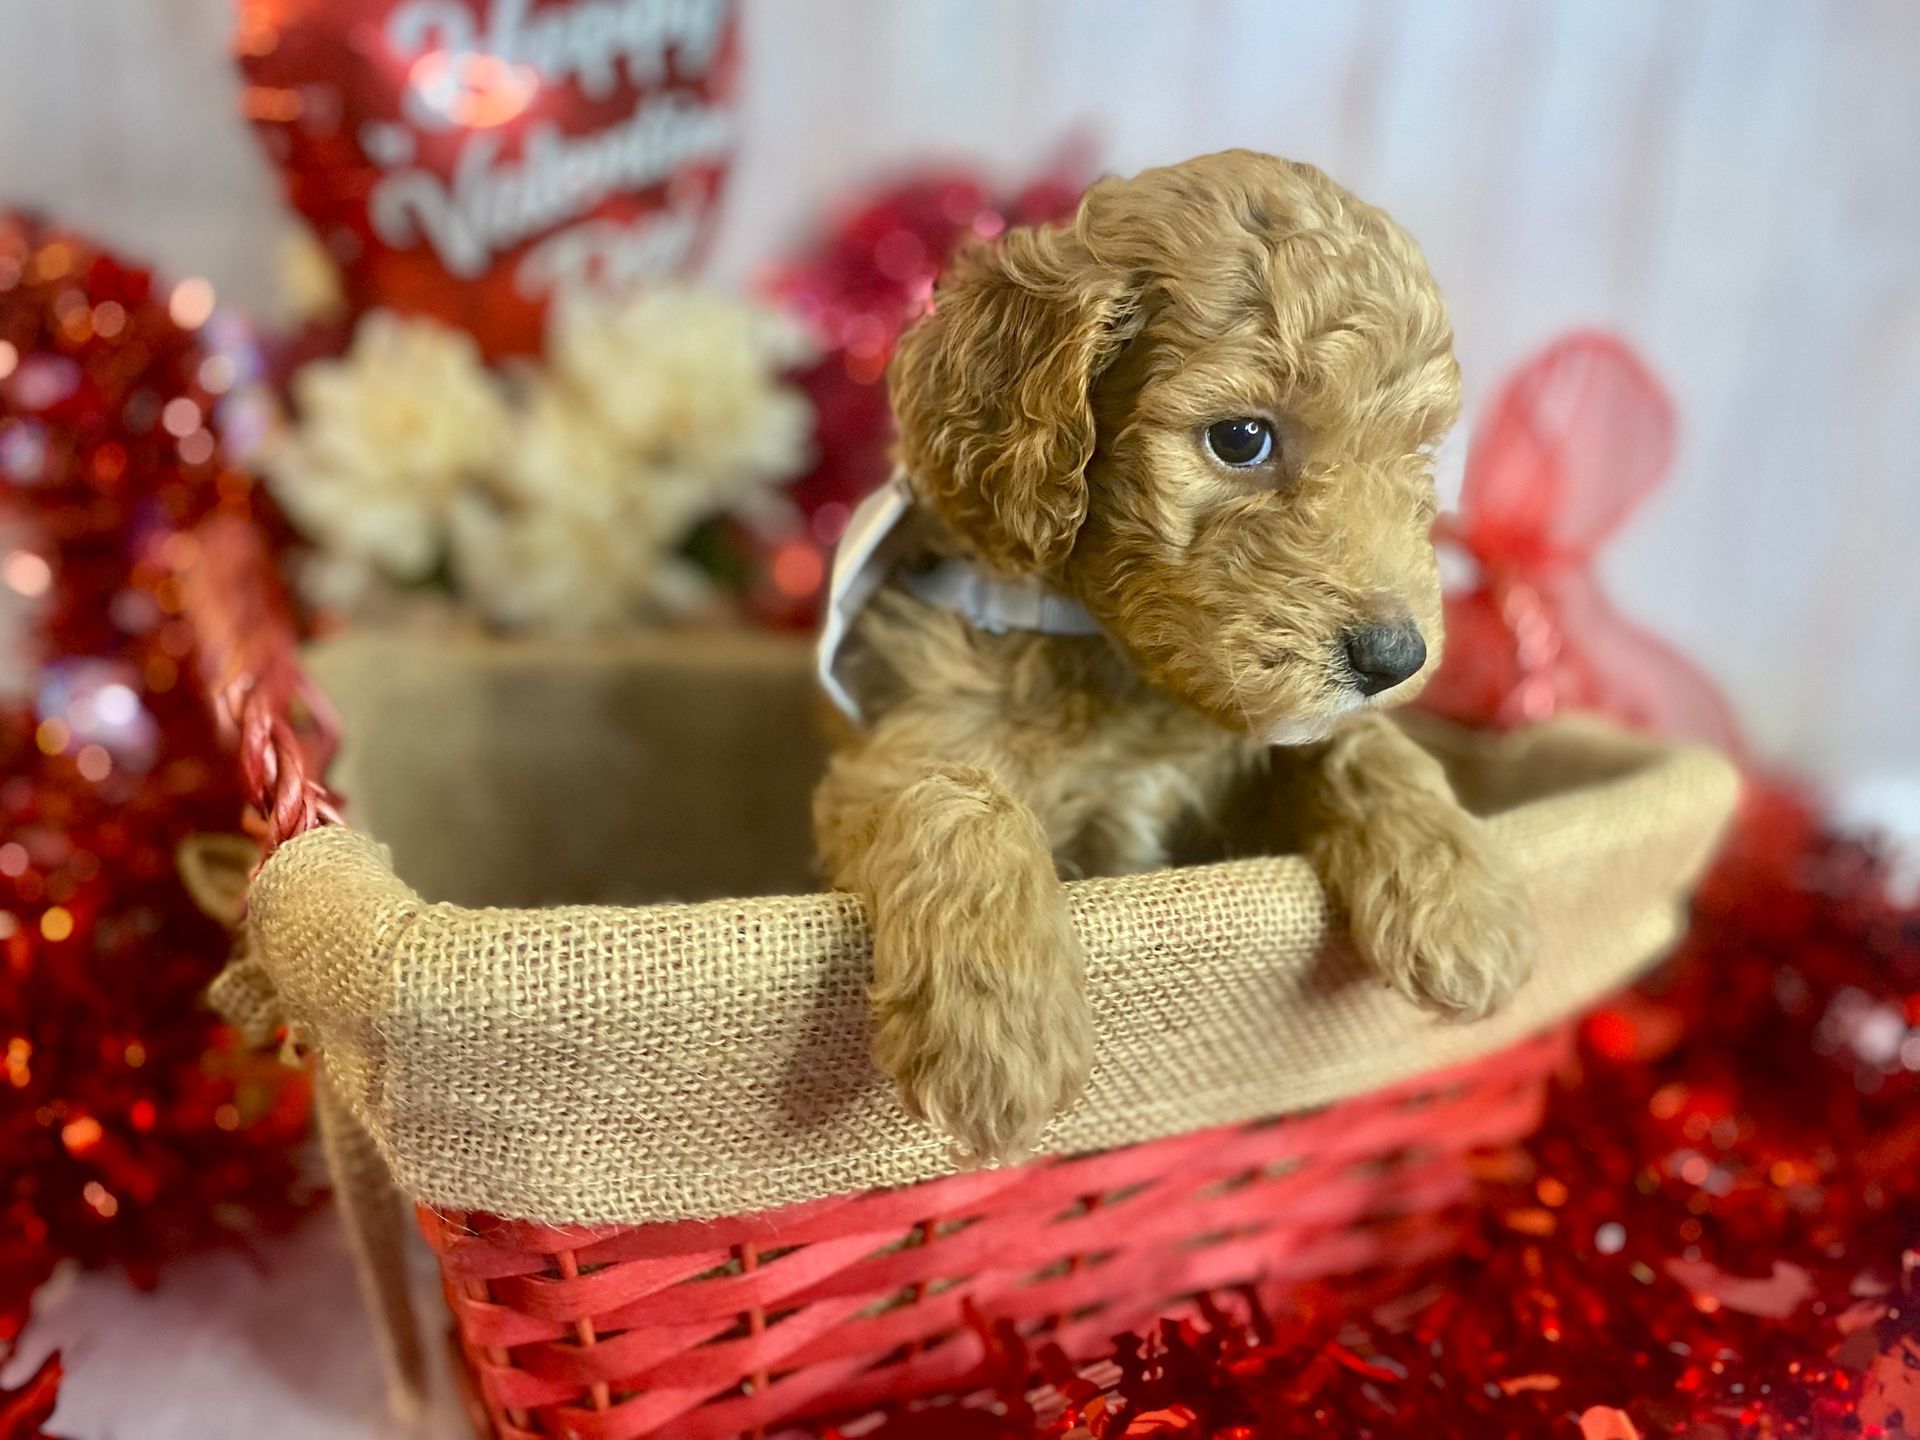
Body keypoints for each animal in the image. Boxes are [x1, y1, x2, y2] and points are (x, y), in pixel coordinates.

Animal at [817, 149, 1536, 1159]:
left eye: (1416, 454)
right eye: (1241, 438)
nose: (1397, 657)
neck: (1126, 667)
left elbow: (1355, 745)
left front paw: (1462, 886)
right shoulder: (900, 735)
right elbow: (955, 792)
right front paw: (998, 1028)